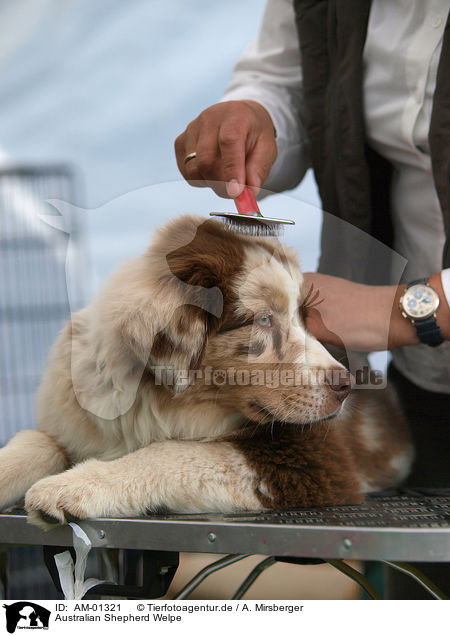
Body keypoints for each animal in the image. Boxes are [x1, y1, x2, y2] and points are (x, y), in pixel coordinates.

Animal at [0, 215, 412, 528]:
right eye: (264, 319)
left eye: (303, 318)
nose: (345, 386)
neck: (158, 401)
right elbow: (37, 440)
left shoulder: (318, 458)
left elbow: (170, 453)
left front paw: (74, 485)